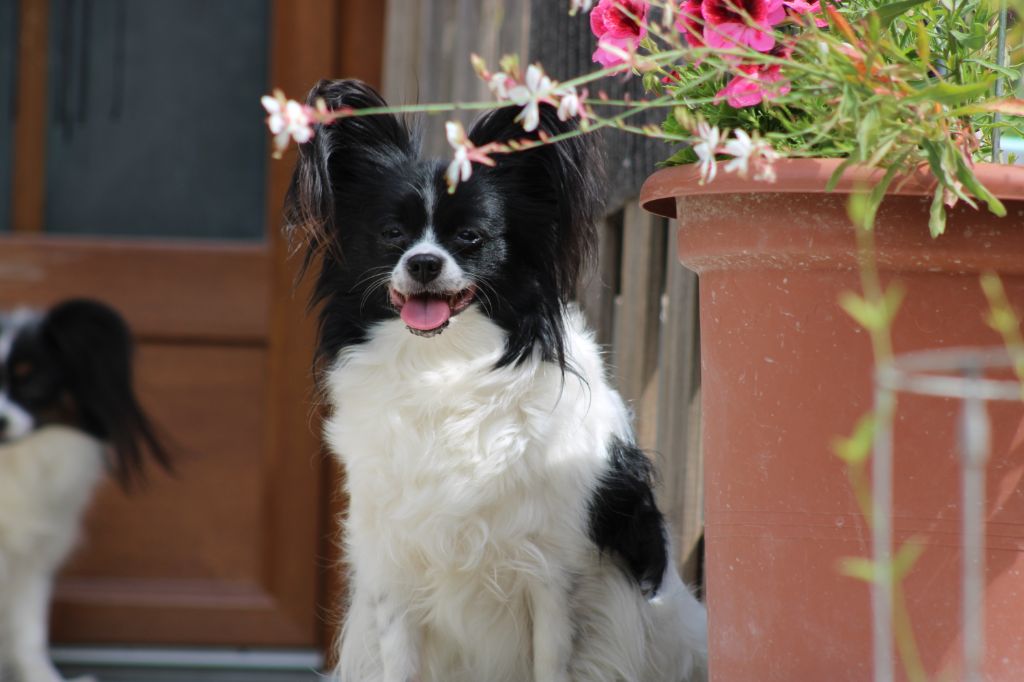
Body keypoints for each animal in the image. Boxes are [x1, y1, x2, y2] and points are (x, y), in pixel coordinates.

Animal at [286, 79, 708, 682]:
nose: (423, 263)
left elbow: (553, 664)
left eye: (470, 237)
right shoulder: (394, 574)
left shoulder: (554, 578)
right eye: (392, 235)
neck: (442, 367)